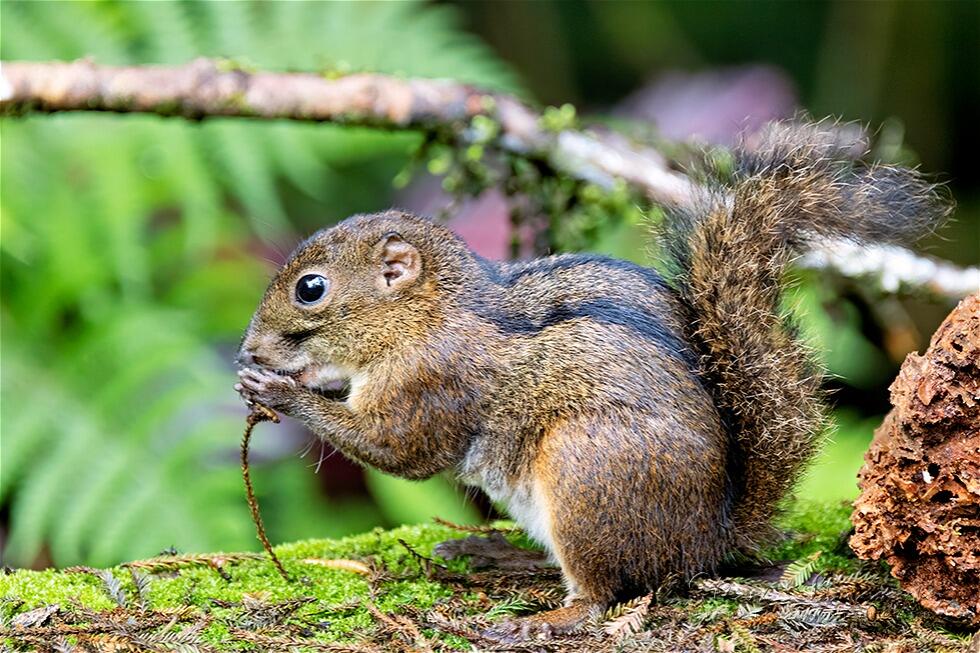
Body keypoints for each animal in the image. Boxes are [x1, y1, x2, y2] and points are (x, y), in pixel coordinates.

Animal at [235, 121, 949, 641]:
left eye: (310, 289)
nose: (248, 348)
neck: (425, 318)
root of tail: (709, 537)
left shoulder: (434, 382)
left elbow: (399, 449)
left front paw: (282, 390)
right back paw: (500, 555)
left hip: (585, 475)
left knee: (605, 593)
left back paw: (543, 619)